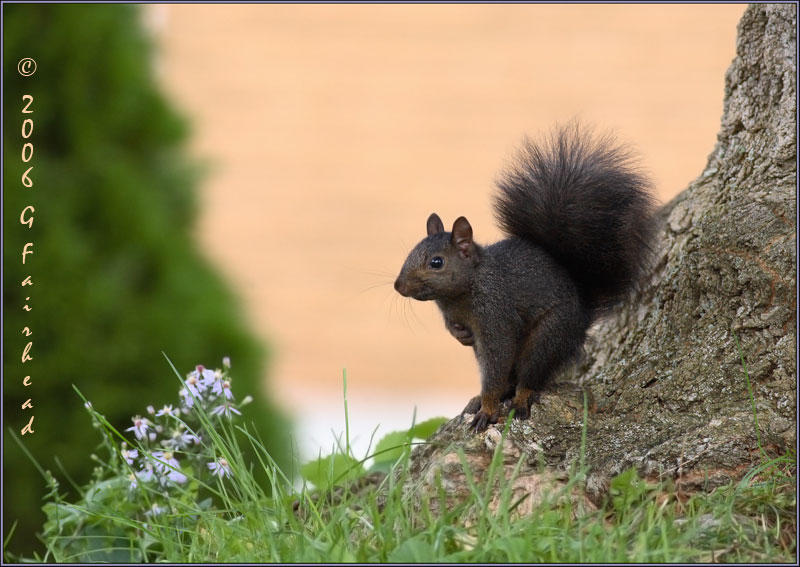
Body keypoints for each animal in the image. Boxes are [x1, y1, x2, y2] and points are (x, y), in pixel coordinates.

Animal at [394, 122, 656, 432]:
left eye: (437, 262)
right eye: (410, 252)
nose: (398, 286)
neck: (464, 291)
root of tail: (582, 309)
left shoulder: (496, 317)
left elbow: (496, 364)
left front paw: (488, 408)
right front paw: (460, 335)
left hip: (548, 336)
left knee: (529, 375)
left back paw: (517, 399)